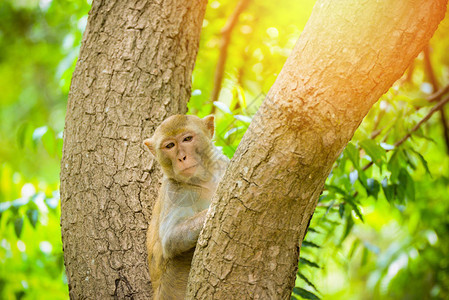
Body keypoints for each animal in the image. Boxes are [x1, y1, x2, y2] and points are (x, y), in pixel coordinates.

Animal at [144, 113, 228, 298]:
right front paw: (211, 211)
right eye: (170, 145)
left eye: (187, 139)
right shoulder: (175, 191)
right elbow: (171, 237)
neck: (203, 179)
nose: (182, 157)